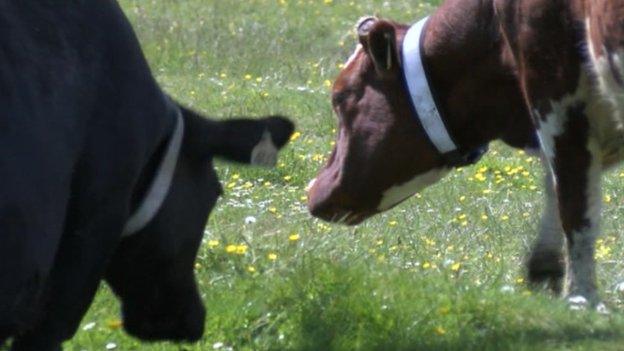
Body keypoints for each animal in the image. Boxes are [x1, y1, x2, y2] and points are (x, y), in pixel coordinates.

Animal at [306, 0, 624, 308]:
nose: (313, 192)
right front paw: (545, 270)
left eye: (340, 96)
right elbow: (556, 184)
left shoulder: (553, 89)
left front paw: (581, 299)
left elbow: (574, 202)